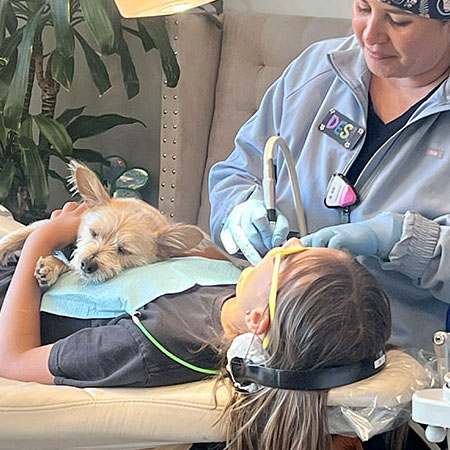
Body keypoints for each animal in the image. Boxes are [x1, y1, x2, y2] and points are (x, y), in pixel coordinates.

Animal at [0, 162, 229, 286]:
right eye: (93, 233)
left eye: (123, 250)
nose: (88, 265)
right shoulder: (46, 223)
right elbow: (19, 236)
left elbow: (68, 263)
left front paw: (50, 266)